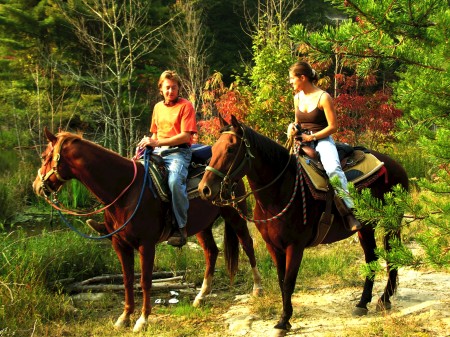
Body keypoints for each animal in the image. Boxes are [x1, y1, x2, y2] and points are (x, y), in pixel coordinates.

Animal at [31, 129, 262, 330]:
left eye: (44, 156)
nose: (36, 186)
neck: (124, 191)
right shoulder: (120, 245)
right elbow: (127, 280)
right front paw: (124, 317)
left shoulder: (146, 245)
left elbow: (145, 281)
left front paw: (142, 320)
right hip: (201, 225)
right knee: (211, 252)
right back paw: (201, 296)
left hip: (234, 214)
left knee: (247, 244)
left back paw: (257, 288)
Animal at [199, 115, 410, 334]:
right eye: (214, 149)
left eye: (231, 149)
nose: (204, 189)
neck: (279, 190)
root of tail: (395, 165)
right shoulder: (273, 246)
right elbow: (282, 281)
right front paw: (285, 318)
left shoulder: (295, 246)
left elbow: (289, 282)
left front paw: (283, 322)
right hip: (366, 228)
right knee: (371, 258)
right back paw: (362, 303)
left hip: (391, 222)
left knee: (392, 255)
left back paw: (384, 299)